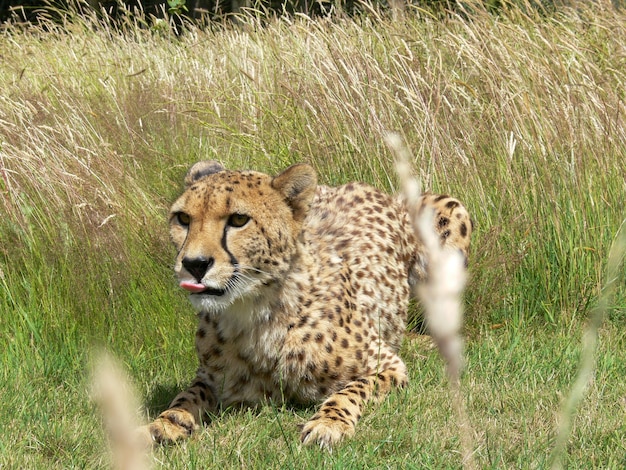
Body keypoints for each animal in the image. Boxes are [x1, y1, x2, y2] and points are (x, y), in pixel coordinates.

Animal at [135, 161, 468, 448]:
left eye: (239, 220)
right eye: (183, 218)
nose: (194, 264)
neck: (255, 312)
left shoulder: (388, 365)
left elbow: (350, 390)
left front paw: (328, 423)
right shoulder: (210, 378)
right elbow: (187, 396)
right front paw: (166, 422)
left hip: (447, 211)